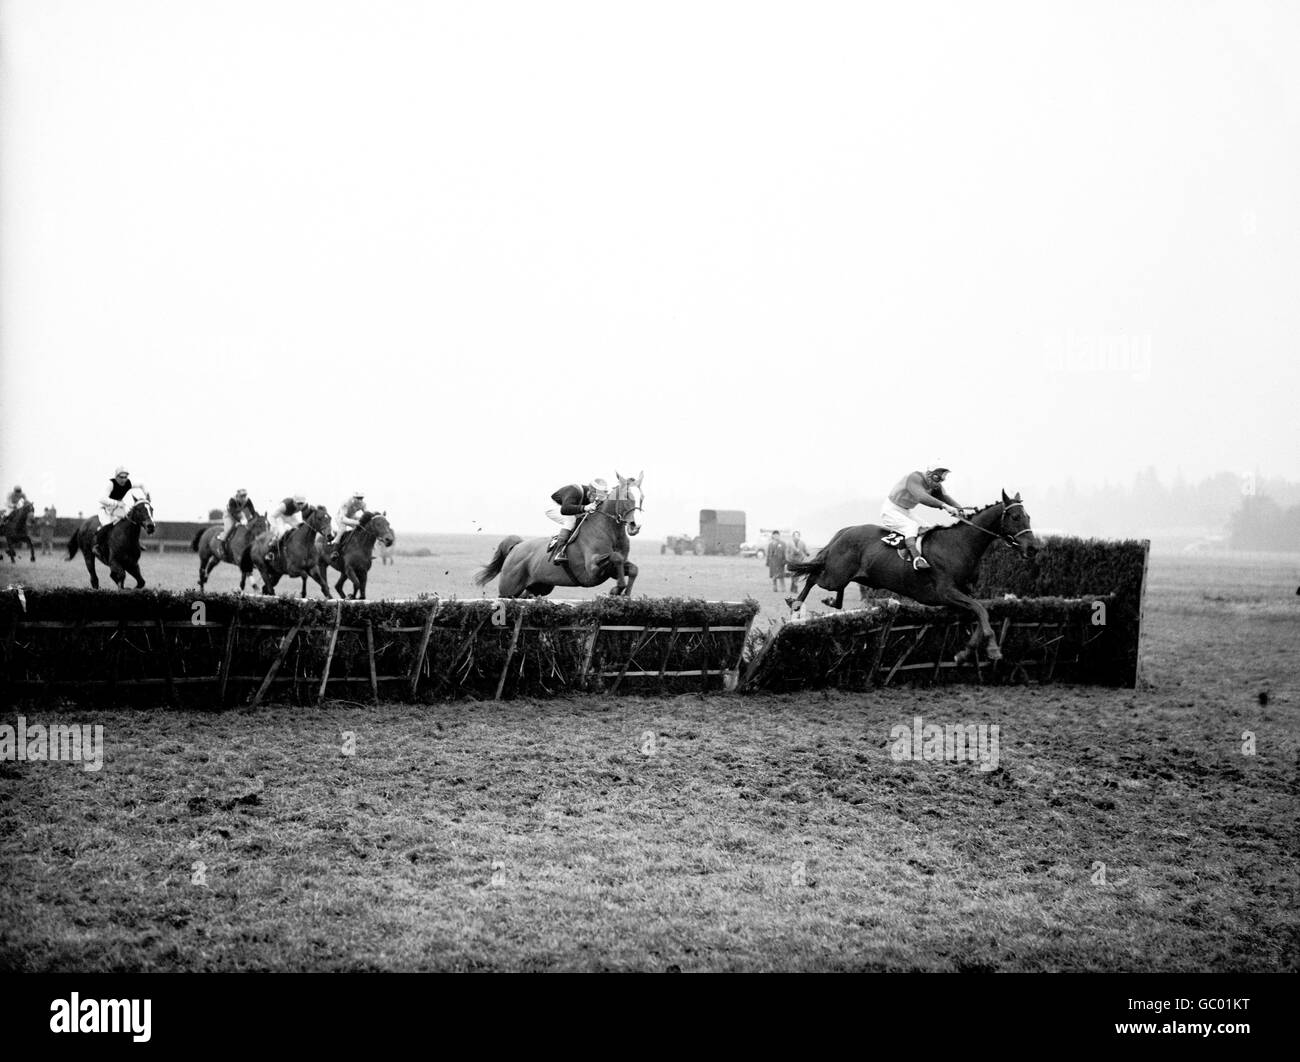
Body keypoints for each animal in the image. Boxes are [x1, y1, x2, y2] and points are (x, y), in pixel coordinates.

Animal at [473, 473, 644, 597]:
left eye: (642, 497)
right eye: (627, 497)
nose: (635, 526)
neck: (611, 531)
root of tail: (516, 547)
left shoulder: (609, 571)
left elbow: (632, 568)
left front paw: (624, 592)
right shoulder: (593, 568)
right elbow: (616, 557)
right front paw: (617, 590)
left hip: (539, 586)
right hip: (508, 589)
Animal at [785, 491, 1040, 662]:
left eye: (1028, 516)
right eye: (1015, 517)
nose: (1034, 548)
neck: (959, 545)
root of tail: (845, 531)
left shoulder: (962, 596)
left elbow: (981, 611)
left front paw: (965, 652)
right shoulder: (945, 593)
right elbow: (980, 610)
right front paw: (993, 649)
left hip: (853, 575)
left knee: (835, 588)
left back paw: (829, 601)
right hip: (834, 574)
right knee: (814, 576)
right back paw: (795, 602)